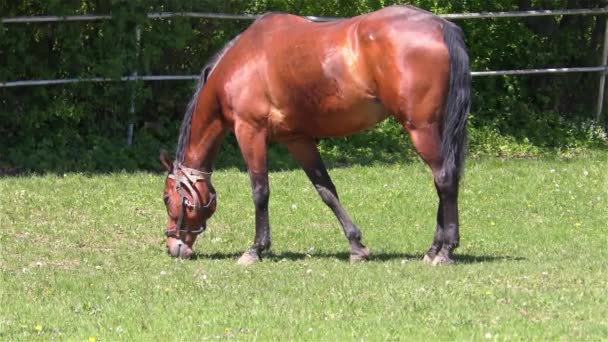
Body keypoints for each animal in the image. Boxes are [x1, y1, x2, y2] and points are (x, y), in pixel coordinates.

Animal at [160, 5, 470, 266]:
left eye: (166, 198)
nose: (173, 247)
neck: (240, 63)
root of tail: (441, 25)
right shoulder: (298, 140)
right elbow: (326, 190)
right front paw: (356, 246)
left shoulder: (250, 132)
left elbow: (260, 191)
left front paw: (256, 249)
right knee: (446, 178)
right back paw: (433, 249)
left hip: (421, 128)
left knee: (444, 178)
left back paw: (445, 250)